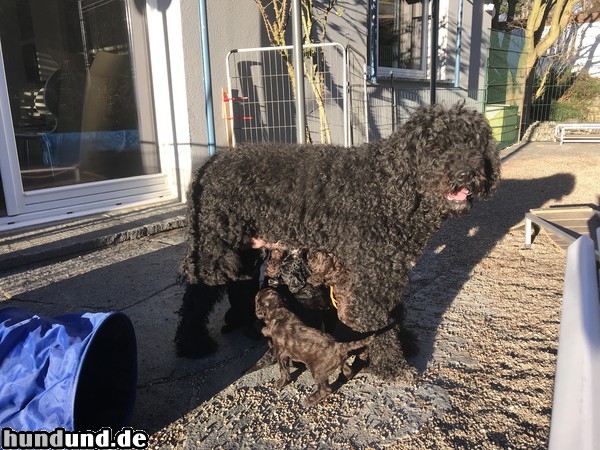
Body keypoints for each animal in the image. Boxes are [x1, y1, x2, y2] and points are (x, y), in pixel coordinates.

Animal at [177, 103, 502, 380]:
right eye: (436, 148)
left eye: (473, 145)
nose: (466, 174)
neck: (390, 188)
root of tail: (210, 162)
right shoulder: (371, 277)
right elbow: (380, 322)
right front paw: (391, 365)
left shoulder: (390, 270)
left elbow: (395, 312)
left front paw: (403, 343)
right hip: (213, 251)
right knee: (196, 295)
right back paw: (193, 344)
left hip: (242, 252)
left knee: (238, 284)